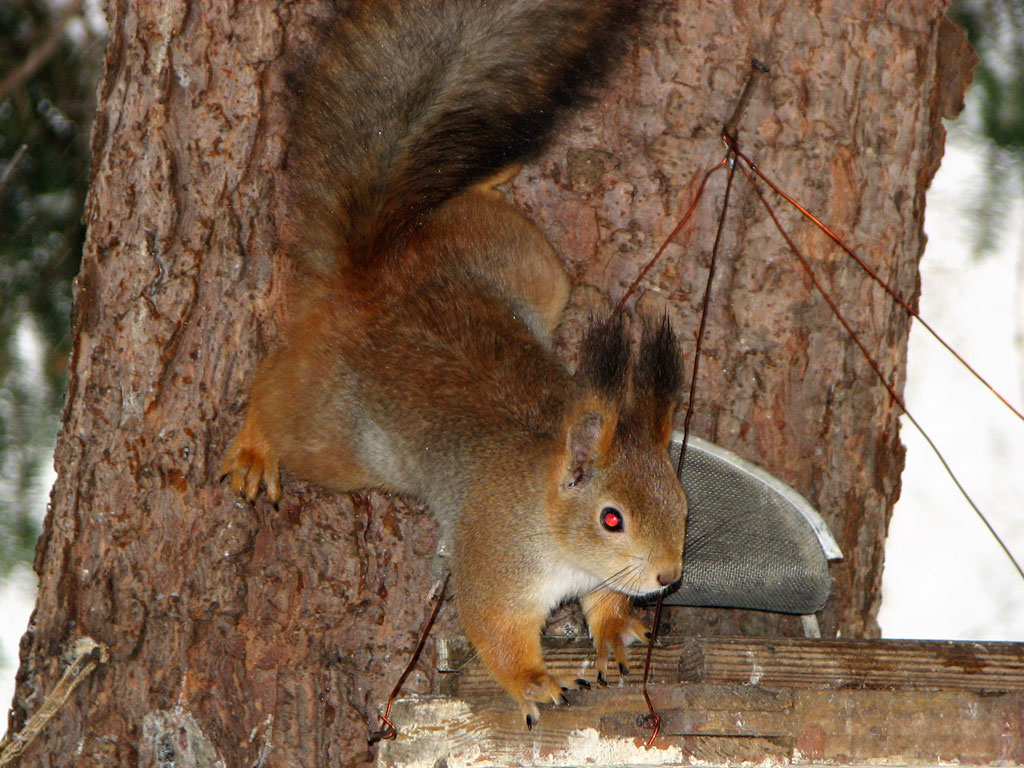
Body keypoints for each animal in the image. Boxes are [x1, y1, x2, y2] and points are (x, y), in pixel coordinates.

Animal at [223, 0, 688, 729]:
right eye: (612, 518)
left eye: (680, 498)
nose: (669, 575)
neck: (551, 524)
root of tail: (371, 275)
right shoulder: (494, 560)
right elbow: (493, 628)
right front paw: (535, 680)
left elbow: (606, 601)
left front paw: (614, 631)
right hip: (335, 437)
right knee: (274, 391)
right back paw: (254, 447)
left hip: (525, 267)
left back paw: (487, 178)